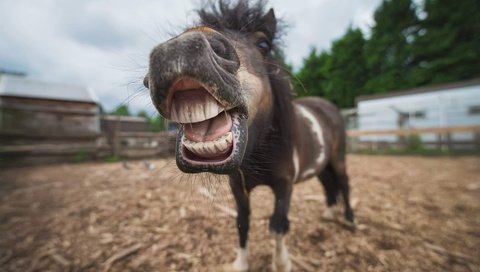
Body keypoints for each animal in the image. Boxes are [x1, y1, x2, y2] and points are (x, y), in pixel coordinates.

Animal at [142, 1, 352, 270]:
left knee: (344, 183)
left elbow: (278, 226)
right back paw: (329, 214)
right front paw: (240, 264)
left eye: (264, 44)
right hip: (322, 164)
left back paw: (350, 220)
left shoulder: (284, 185)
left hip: (338, 158)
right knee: (329, 184)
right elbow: (242, 224)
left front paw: (282, 264)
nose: (179, 49)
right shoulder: (238, 189)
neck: (260, 151)